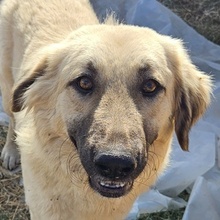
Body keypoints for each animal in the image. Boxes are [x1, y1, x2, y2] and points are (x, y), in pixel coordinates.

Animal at [0, 0, 212, 220]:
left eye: (150, 86)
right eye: (84, 82)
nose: (115, 164)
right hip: (8, 92)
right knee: (12, 118)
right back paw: (10, 151)